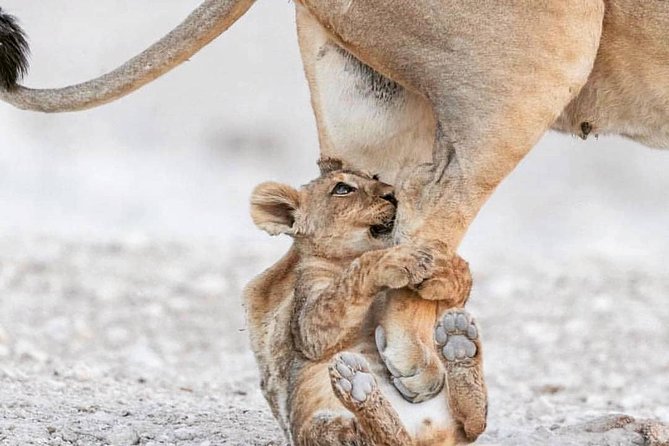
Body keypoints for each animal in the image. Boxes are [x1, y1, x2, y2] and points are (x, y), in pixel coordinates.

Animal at [244, 159, 487, 445]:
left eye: (376, 177)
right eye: (342, 188)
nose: (392, 194)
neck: (347, 256)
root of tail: (427, 439)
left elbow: (459, 280)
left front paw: (443, 269)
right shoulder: (307, 325)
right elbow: (352, 278)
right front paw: (396, 259)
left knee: (474, 421)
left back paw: (458, 340)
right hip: (321, 426)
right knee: (390, 439)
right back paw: (358, 386)